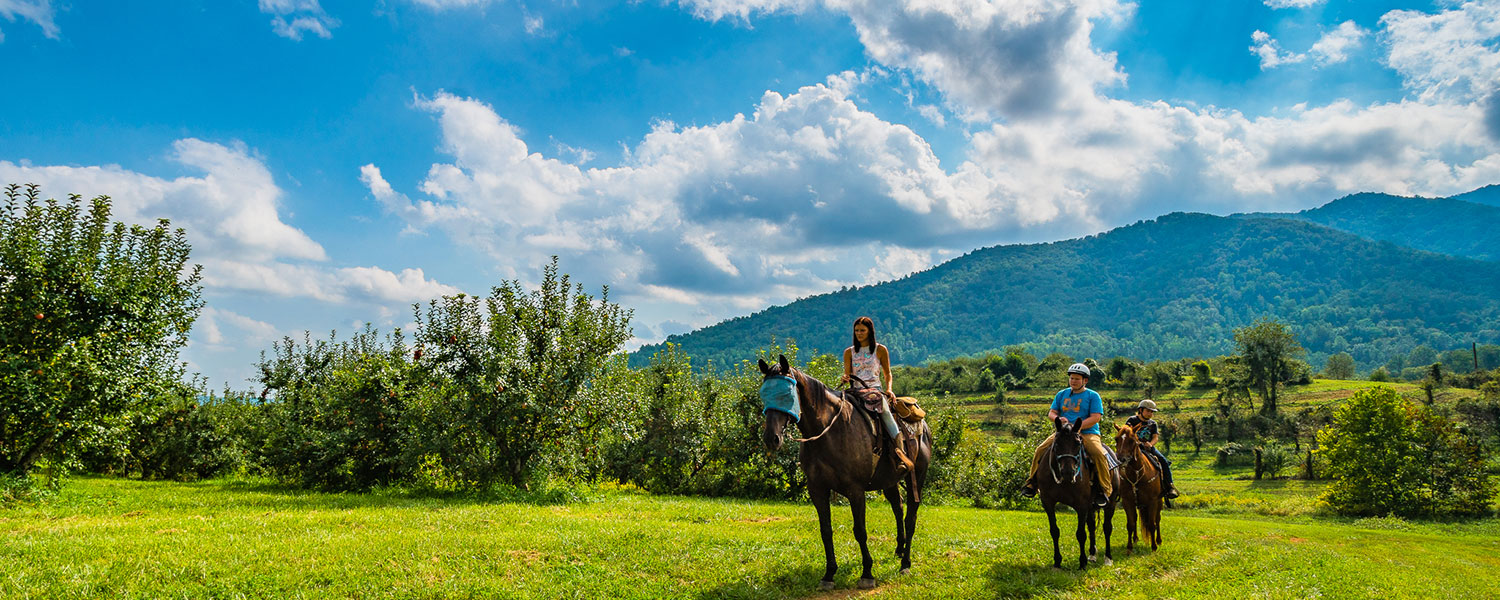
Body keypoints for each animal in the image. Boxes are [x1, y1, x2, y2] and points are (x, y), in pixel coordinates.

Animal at [756, 357, 930, 591]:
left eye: (786, 395)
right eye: (764, 394)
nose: (771, 438)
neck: (828, 431)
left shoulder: (855, 490)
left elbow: (860, 531)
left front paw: (867, 573)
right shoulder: (817, 489)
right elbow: (826, 530)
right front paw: (829, 574)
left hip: (917, 477)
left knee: (910, 517)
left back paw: (906, 563)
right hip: (890, 481)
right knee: (898, 507)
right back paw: (899, 550)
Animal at [1038, 414, 1122, 570]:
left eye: (1077, 444)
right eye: (1057, 444)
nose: (1068, 472)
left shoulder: (1081, 504)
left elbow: (1081, 534)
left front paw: (1082, 562)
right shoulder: (1048, 502)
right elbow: (1054, 531)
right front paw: (1057, 561)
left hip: (1111, 501)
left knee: (1107, 527)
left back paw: (1108, 558)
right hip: (1092, 506)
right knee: (1092, 526)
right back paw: (1092, 555)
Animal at [1110, 423, 1164, 552]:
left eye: (1132, 440)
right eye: (1116, 439)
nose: (1121, 459)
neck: (1137, 474)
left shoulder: (1153, 501)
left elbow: (1152, 524)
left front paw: (1154, 547)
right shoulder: (1127, 501)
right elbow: (1130, 524)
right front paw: (1129, 547)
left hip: (1160, 501)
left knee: (1157, 519)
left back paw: (1158, 540)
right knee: (1135, 519)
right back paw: (1135, 539)